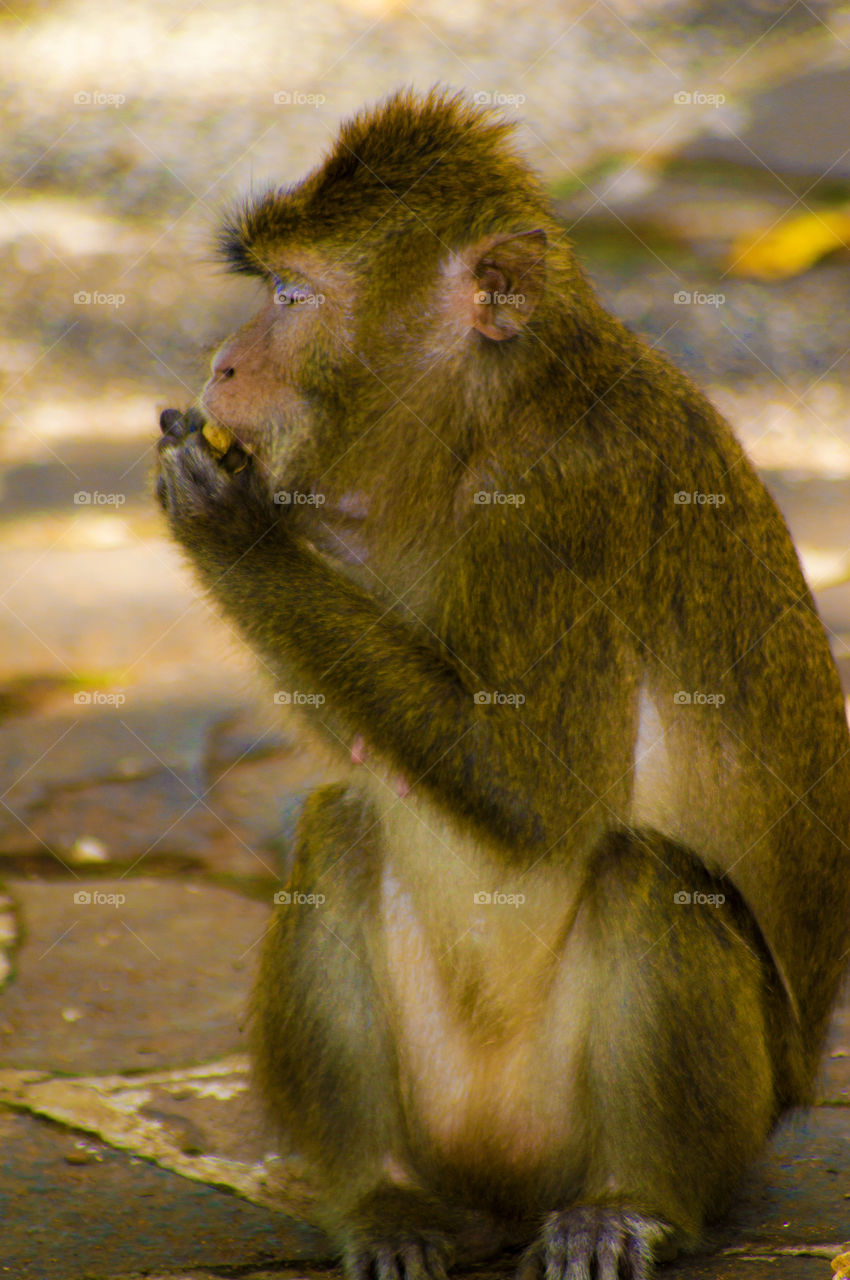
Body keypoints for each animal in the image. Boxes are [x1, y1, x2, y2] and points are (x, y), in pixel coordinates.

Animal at [155, 89, 850, 1280]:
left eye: (290, 296)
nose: (223, 363)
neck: (485, 413)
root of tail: (504, 1188)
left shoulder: (561, 497)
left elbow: (541, 791)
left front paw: (230, 525)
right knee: (341, 828)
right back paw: (382, 1199)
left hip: (688, 1126)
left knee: (645, 871)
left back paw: (627, 1202)